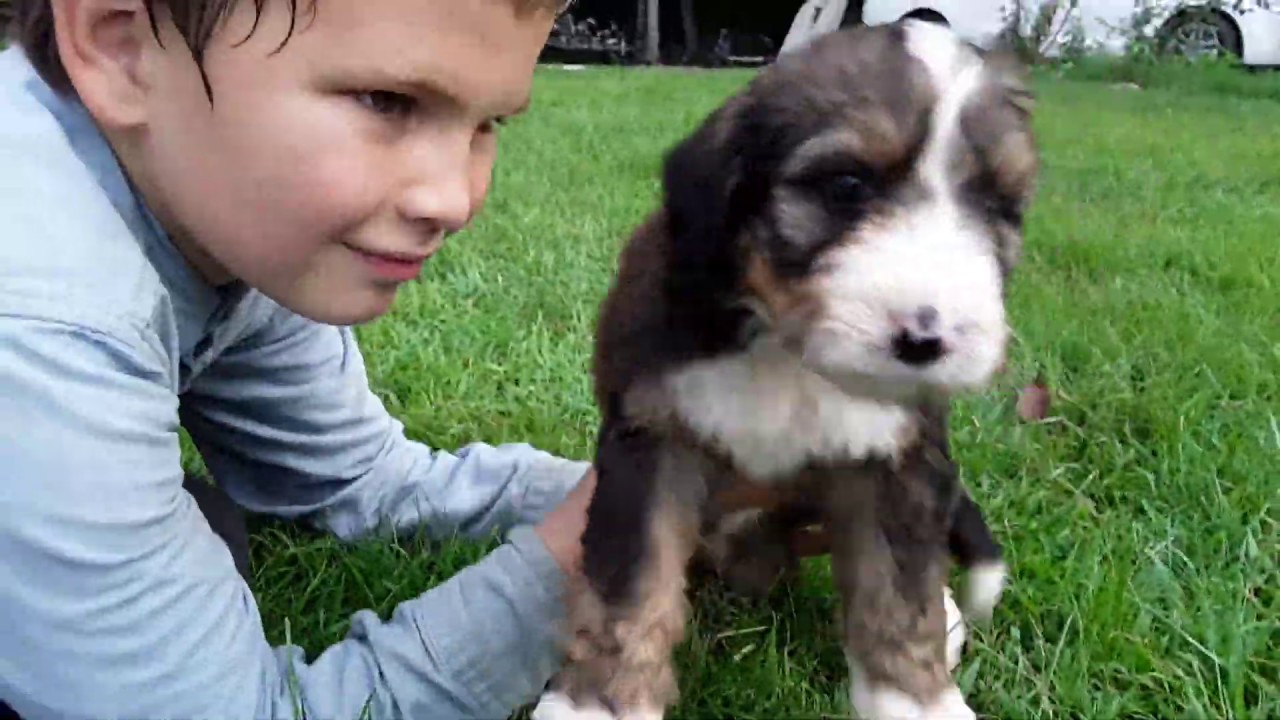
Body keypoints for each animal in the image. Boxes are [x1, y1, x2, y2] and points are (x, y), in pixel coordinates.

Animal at [535, 19, 1034, 717]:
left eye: (996, 209)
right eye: (846, 186)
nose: (927, 339)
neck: (788, 352)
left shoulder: (896, 463)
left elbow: (899, 595)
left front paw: (916, 701)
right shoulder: (653, 438)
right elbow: (630, 587)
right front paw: (597, 702)